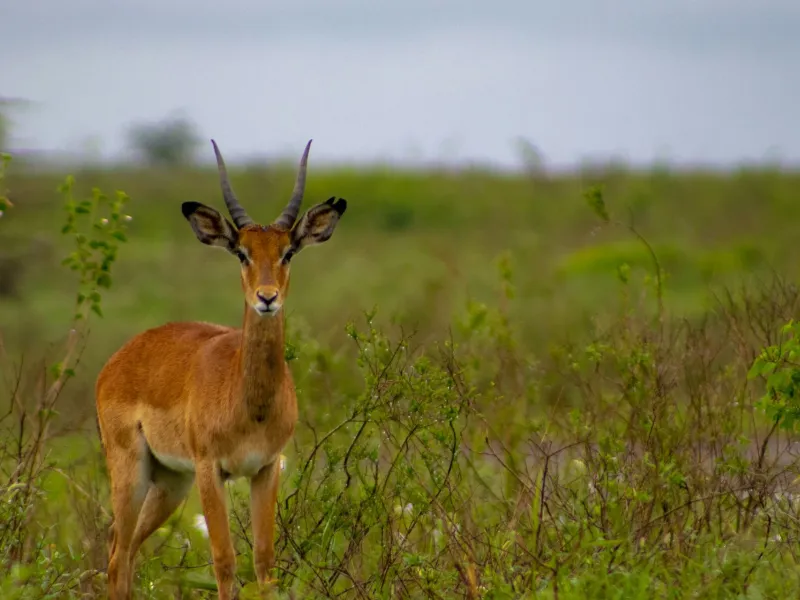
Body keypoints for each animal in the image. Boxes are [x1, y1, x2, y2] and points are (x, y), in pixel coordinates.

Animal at [95, 139, 347, 599]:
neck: (250, 403)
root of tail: (119, 358)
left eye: (287, 252)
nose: (267, 297)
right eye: (242, 253)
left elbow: (264, 561)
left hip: (171, 481)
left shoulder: (266, 468)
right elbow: (225, 560)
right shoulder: (211, 470)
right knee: (118, 554)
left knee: (123, 546)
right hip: (132, 470)